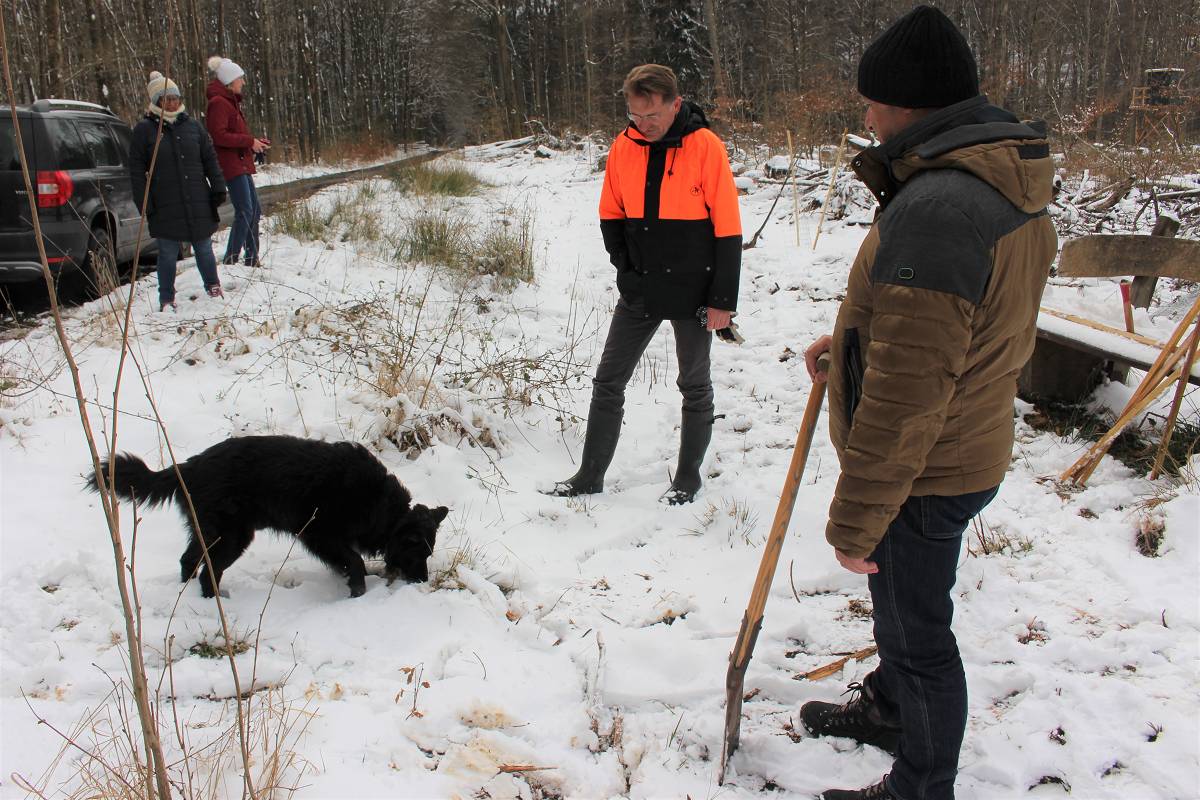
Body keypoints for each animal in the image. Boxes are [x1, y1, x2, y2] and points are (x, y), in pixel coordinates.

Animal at [84, 434, 448, 597]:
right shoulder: (319, 536)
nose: (423, 581)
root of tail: (188, 466)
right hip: (231, 536)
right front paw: (357, 590)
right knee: (207, 572)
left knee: (189, 560)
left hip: (212, 532)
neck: (379, 505)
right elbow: (354, 561)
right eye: (417, 553)